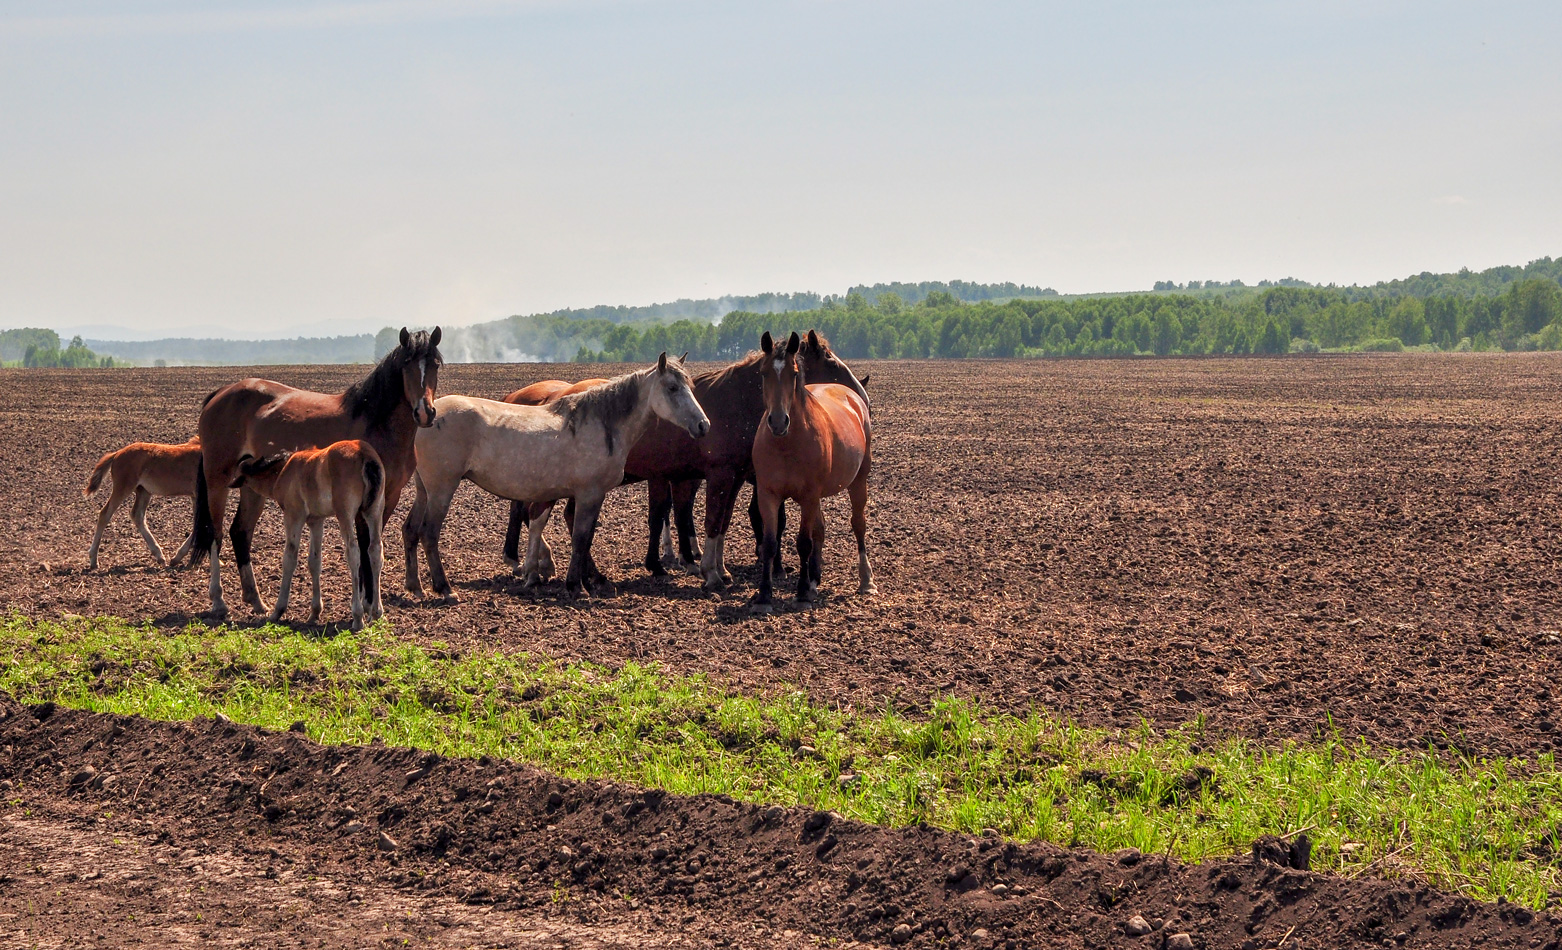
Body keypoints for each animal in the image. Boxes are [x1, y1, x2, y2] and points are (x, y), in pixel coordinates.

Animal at [86, 440, 203, 571]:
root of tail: (117, 454)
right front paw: (183, 559)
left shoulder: (196, 496)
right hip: (123, 487)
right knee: (105, 514)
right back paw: (93, 560)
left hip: (143, 491)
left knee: (137, 515)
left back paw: (159, 556)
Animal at [231, 440, 390, 634]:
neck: (284, 470)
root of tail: (365, 455)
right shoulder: (316, 521)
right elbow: (315, 562)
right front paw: (314, 612)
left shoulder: (294, 516)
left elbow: (290, 558)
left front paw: (277, 611)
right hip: (375, 511)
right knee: (375, 551)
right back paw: (376, 611)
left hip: (344, 513)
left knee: (353, 552)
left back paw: (358, 617)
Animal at [499, 329, 868, 590]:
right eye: (831, 362)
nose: (861, 396)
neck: (733, 402)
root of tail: (554, 396)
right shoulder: (718, 475)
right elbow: (710, 520)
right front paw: (709, 572)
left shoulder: (732, 478)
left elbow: (721, 521)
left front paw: (717, 568)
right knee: (539, 514)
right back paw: (537, 568)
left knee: (565, 517)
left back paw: (587, 574)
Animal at [749, 334, 874, 612]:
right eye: (763, 373)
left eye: (794, 373)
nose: (778, 421)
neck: (786, 443)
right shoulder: (768, 495)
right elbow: (770, 543)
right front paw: (764, 595)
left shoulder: (808, 496)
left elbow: (803, 543)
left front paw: (802, 593)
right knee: (820, 529)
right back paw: (815, 579)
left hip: (858, 481)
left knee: (858, 523)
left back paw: (866, 580)